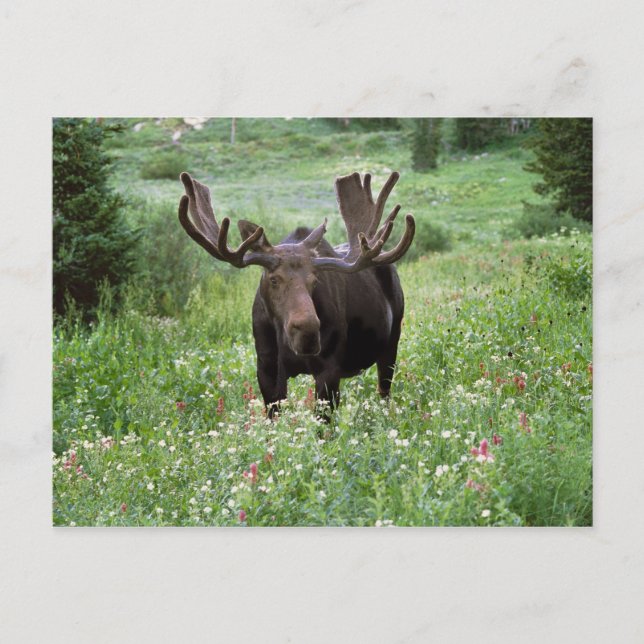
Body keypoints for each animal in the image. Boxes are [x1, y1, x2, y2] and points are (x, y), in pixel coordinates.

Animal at [178, 170, 415, 419]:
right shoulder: (267, 368)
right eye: (273, 279)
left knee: (384, 392)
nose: (308, 331)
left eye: (315, 280)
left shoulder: (329, 369)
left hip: (392, 342)